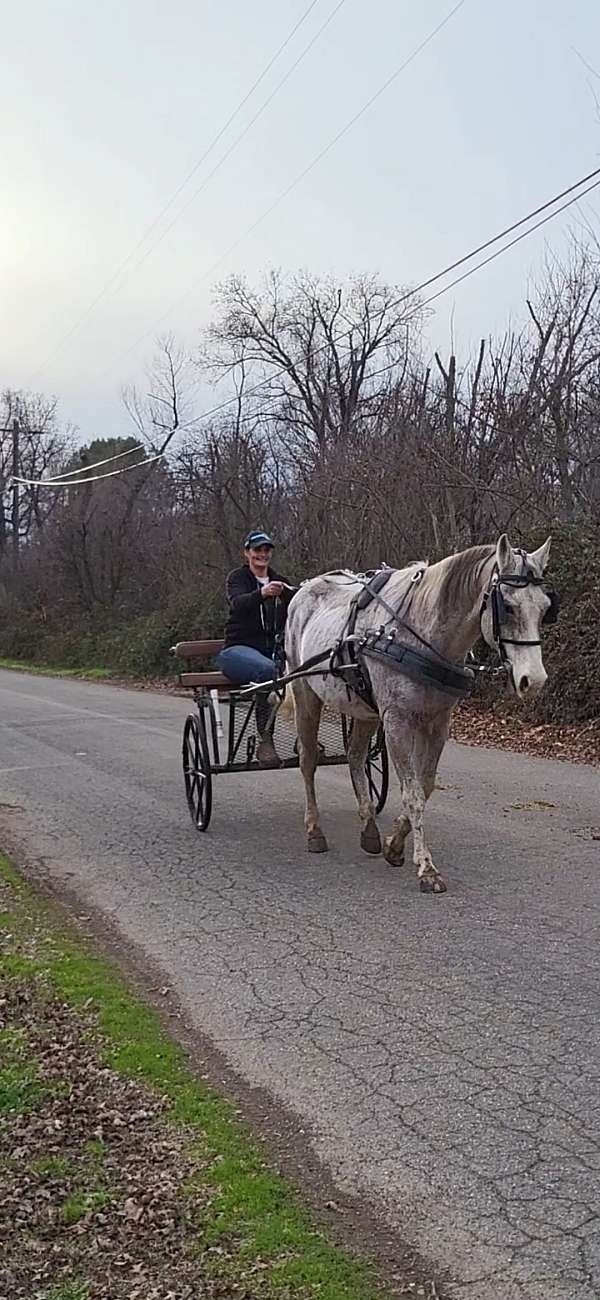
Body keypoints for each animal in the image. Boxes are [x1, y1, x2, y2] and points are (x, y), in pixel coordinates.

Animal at [283, 530, 555, 894]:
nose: (534, 680)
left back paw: (369, 829)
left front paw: (394, 845)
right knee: (308, 760)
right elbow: (412, 793)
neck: (421, 635)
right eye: (508, 607)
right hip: (306, 694)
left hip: (365, 711)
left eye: (545, 609)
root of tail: (303, 589)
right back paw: (314, 830)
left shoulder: (437, 723)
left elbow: (424, 788)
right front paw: (426, 867)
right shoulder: (397, 721)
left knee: (355, 756)